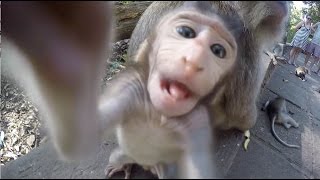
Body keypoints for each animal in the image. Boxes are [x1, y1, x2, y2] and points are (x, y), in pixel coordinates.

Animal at [99, 1, 241, 179]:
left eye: (218, 50)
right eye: (186, 32)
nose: (194, 60)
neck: (160, 115)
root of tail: (146, 164)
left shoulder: (198, 121)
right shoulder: (129, 87)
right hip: (126, 154)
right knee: (118, 157)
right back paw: (123, 165)